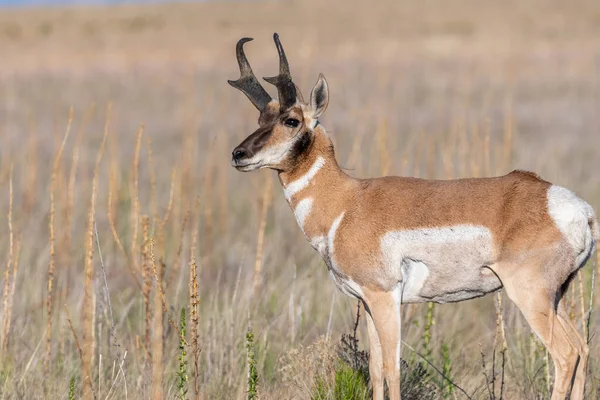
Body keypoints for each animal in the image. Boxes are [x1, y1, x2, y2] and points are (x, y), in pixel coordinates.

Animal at [227, 32, 596, 398]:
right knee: (583, 348)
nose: (238, 154)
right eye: (261, 119)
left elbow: (392, 370)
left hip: (530, 296)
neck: (346, 202)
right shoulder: (368, 303)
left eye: (291, 120)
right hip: (557, 297)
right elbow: (376, 371)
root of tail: (576, 208)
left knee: (566, 354)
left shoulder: (384, 297)